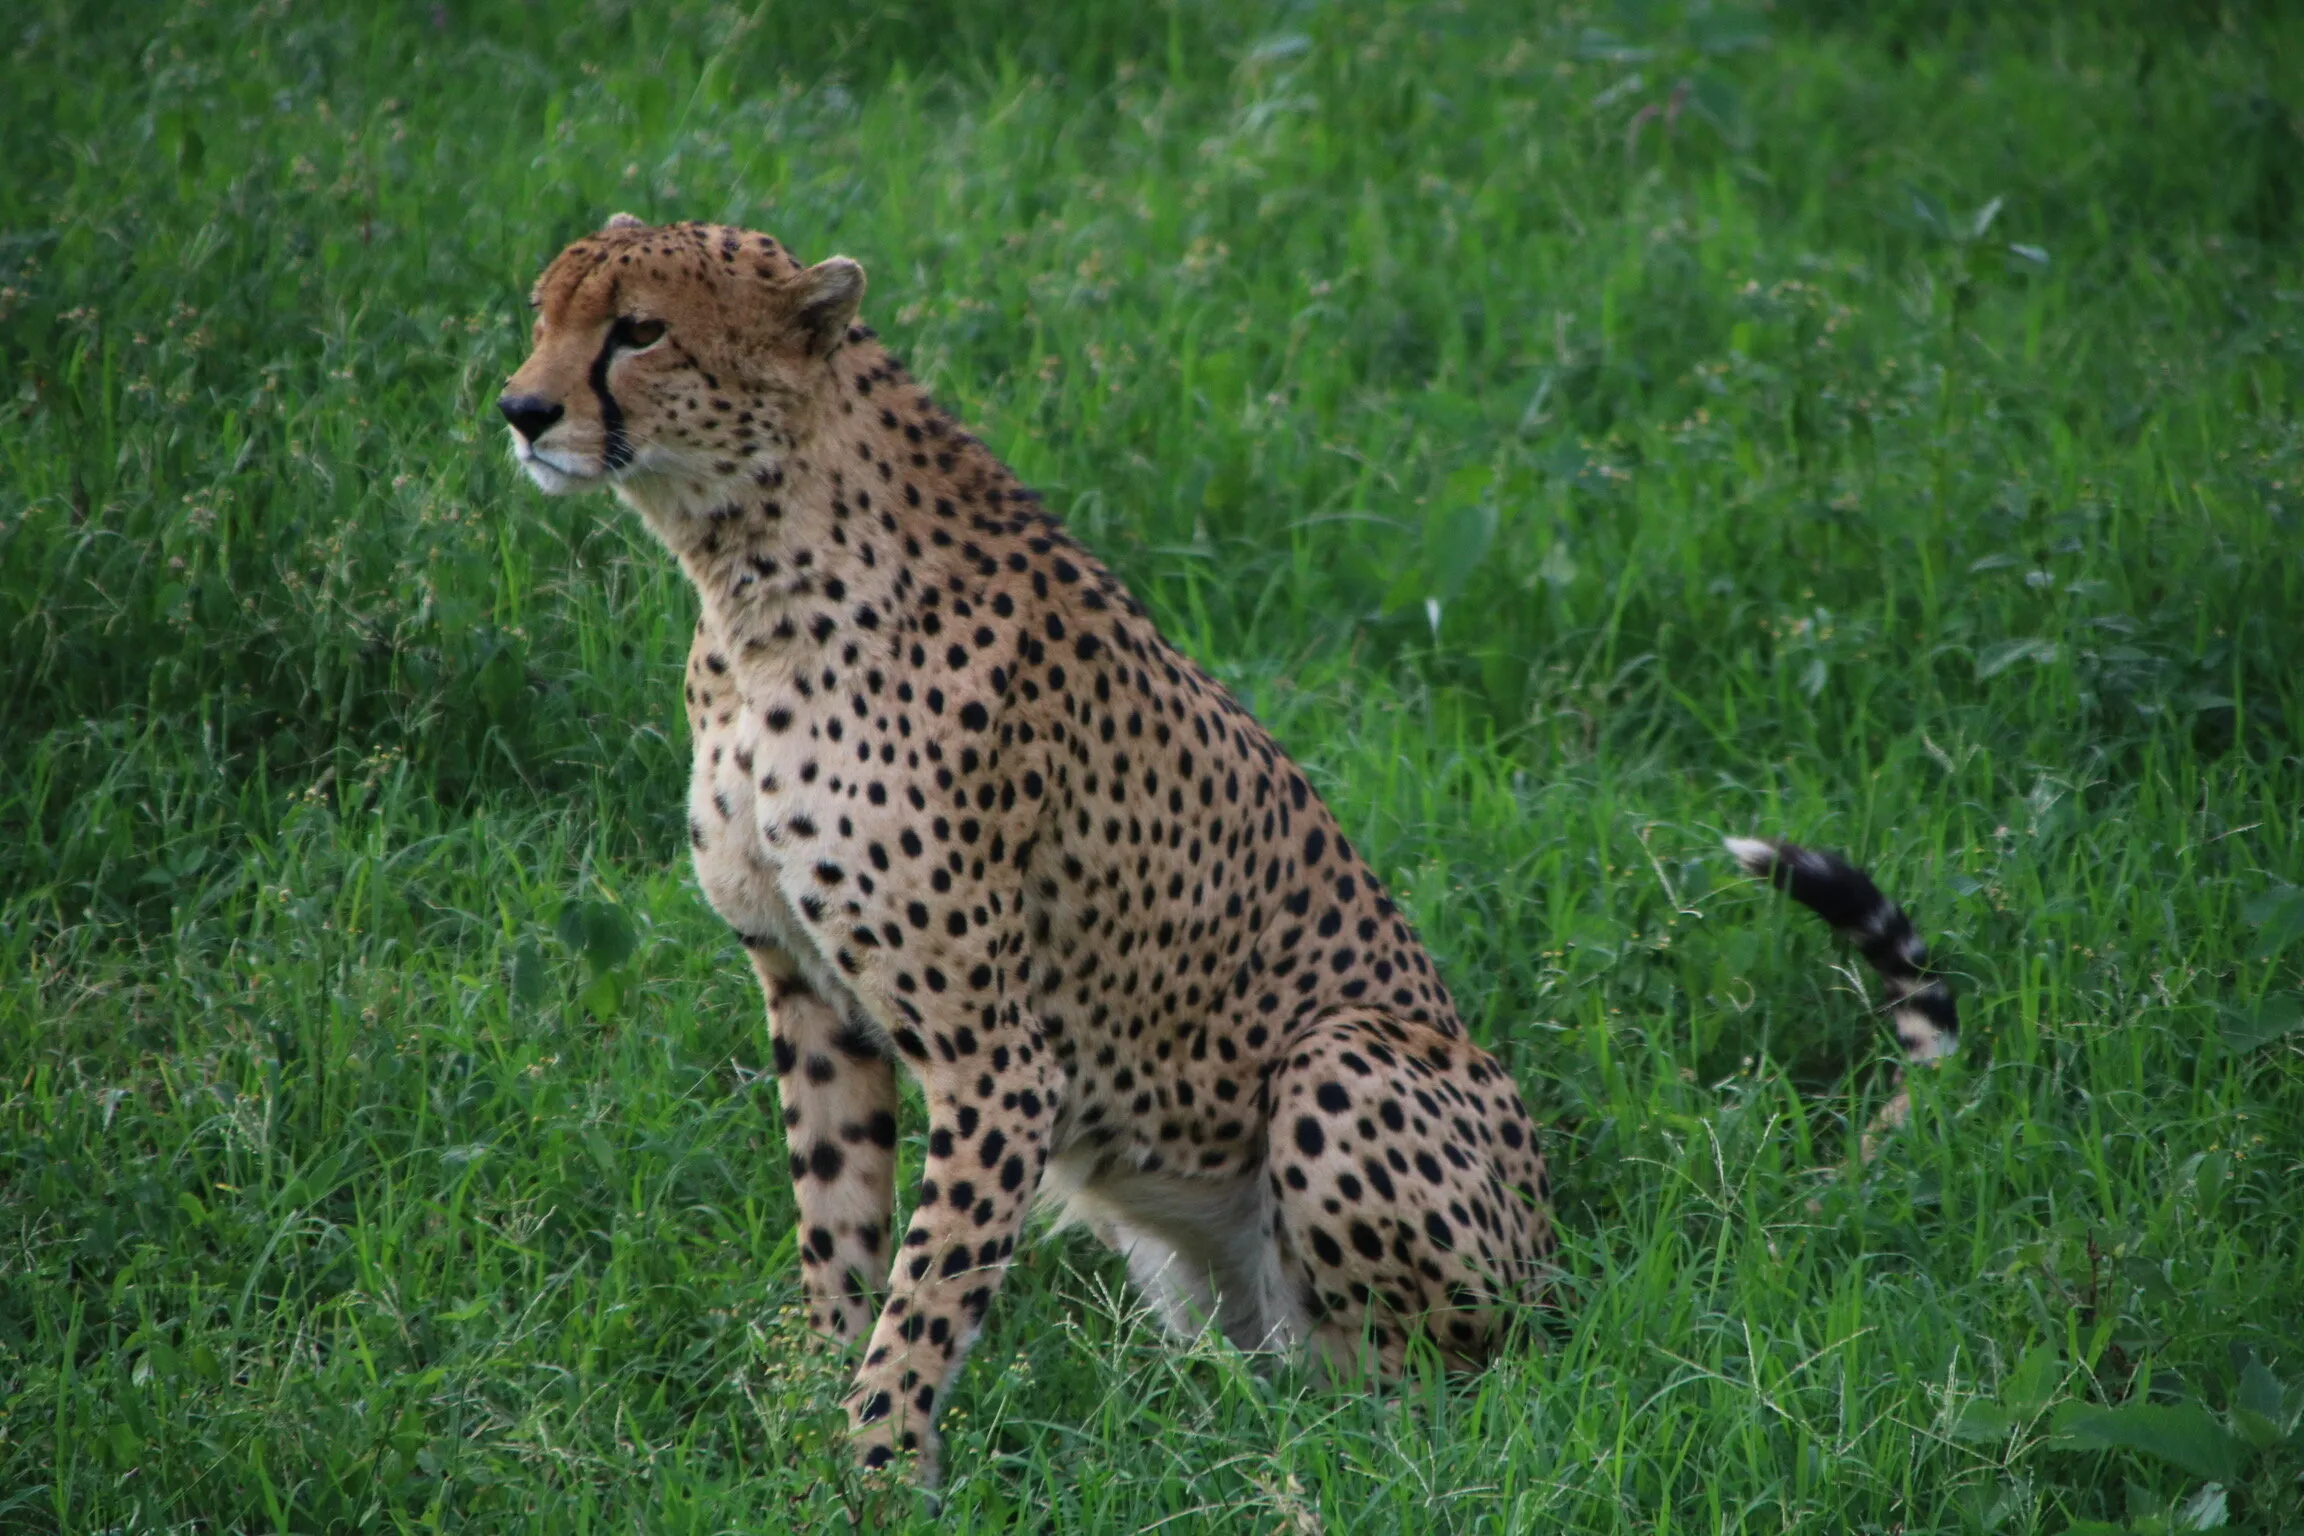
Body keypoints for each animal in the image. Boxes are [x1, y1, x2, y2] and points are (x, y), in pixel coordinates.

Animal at [496, 215, 1958, 1485]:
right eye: (543, 314)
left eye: (638, 331)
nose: (519, 410)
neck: (751, 564)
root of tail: (1561, 1259)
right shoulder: (810, 995)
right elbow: (838, 1233)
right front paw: (809, 1420)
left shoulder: (1000, 1060)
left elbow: (927, 1288)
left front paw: (879, 1466)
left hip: (1350, 1065)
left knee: (1431, 1403)